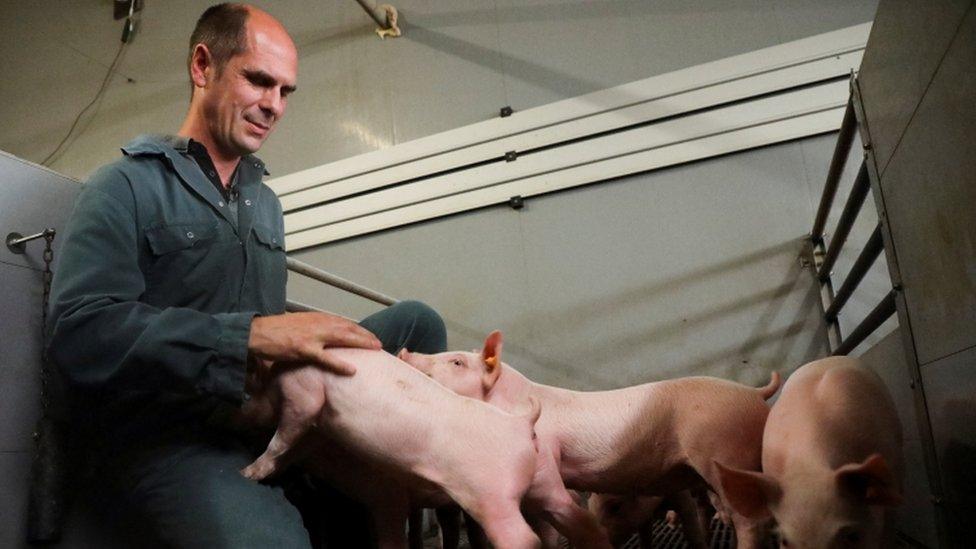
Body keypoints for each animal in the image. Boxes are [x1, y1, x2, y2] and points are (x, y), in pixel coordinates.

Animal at [240, 346, 608, 548]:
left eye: (246, 389)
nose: (238, 417)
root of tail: (522, 424)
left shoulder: (304, 392)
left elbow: (285, 434)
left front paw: (248, 473)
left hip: (492, 496)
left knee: (524, 538)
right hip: (545, 479)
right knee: (576, 515)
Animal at [394, 330, 776, 548]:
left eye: (457, 362)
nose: (404, 352)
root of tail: (754, 393)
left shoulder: (545, 457)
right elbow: (543, 533)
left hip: (723, 449)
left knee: (749, 519)